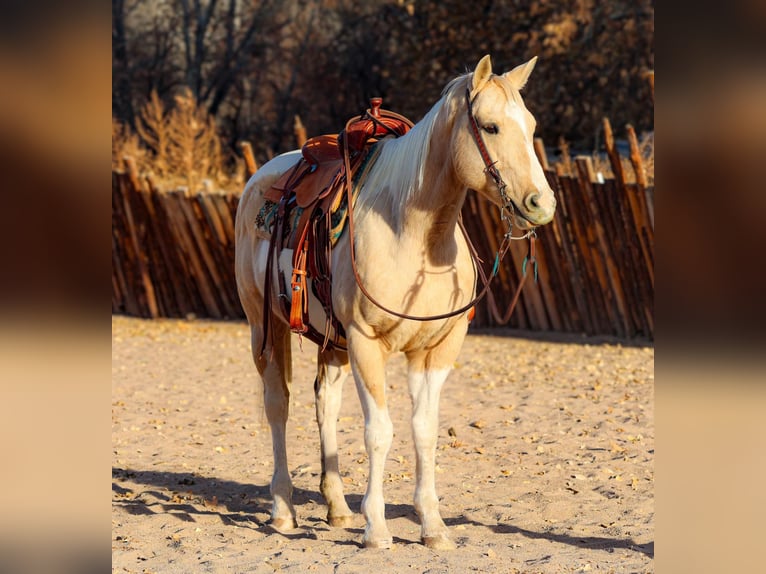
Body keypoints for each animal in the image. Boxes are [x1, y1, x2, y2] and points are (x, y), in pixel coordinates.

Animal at [236, 55, 560, 552]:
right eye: (490, 126)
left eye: (530, 125)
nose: (541, 205)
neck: (413, 234)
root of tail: (262, 177)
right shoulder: (366, 343)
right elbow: (379, 432)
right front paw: (377, 528)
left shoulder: (437, 349)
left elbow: (423, 430)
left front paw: (432, 526)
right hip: (265, 326)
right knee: (278, 405)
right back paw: (283, 508)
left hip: (332, 342)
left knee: (325, 402)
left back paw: (337, 507)